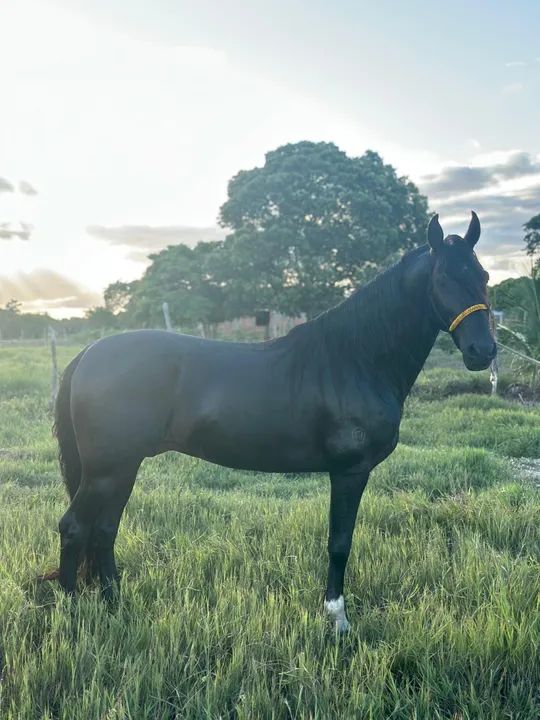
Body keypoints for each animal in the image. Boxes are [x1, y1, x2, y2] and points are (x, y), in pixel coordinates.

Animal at [53, 212, 495, 632]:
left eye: (484, 276)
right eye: (443, 277)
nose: (483, 351)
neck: (356, 360)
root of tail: (88, 354)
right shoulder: (350, 471)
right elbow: (340, 542)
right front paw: (337, 618)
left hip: (123, 468)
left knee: (104, 529)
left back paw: (114, 601)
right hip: (107, 471)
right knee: (74, 527)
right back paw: (71, 610)